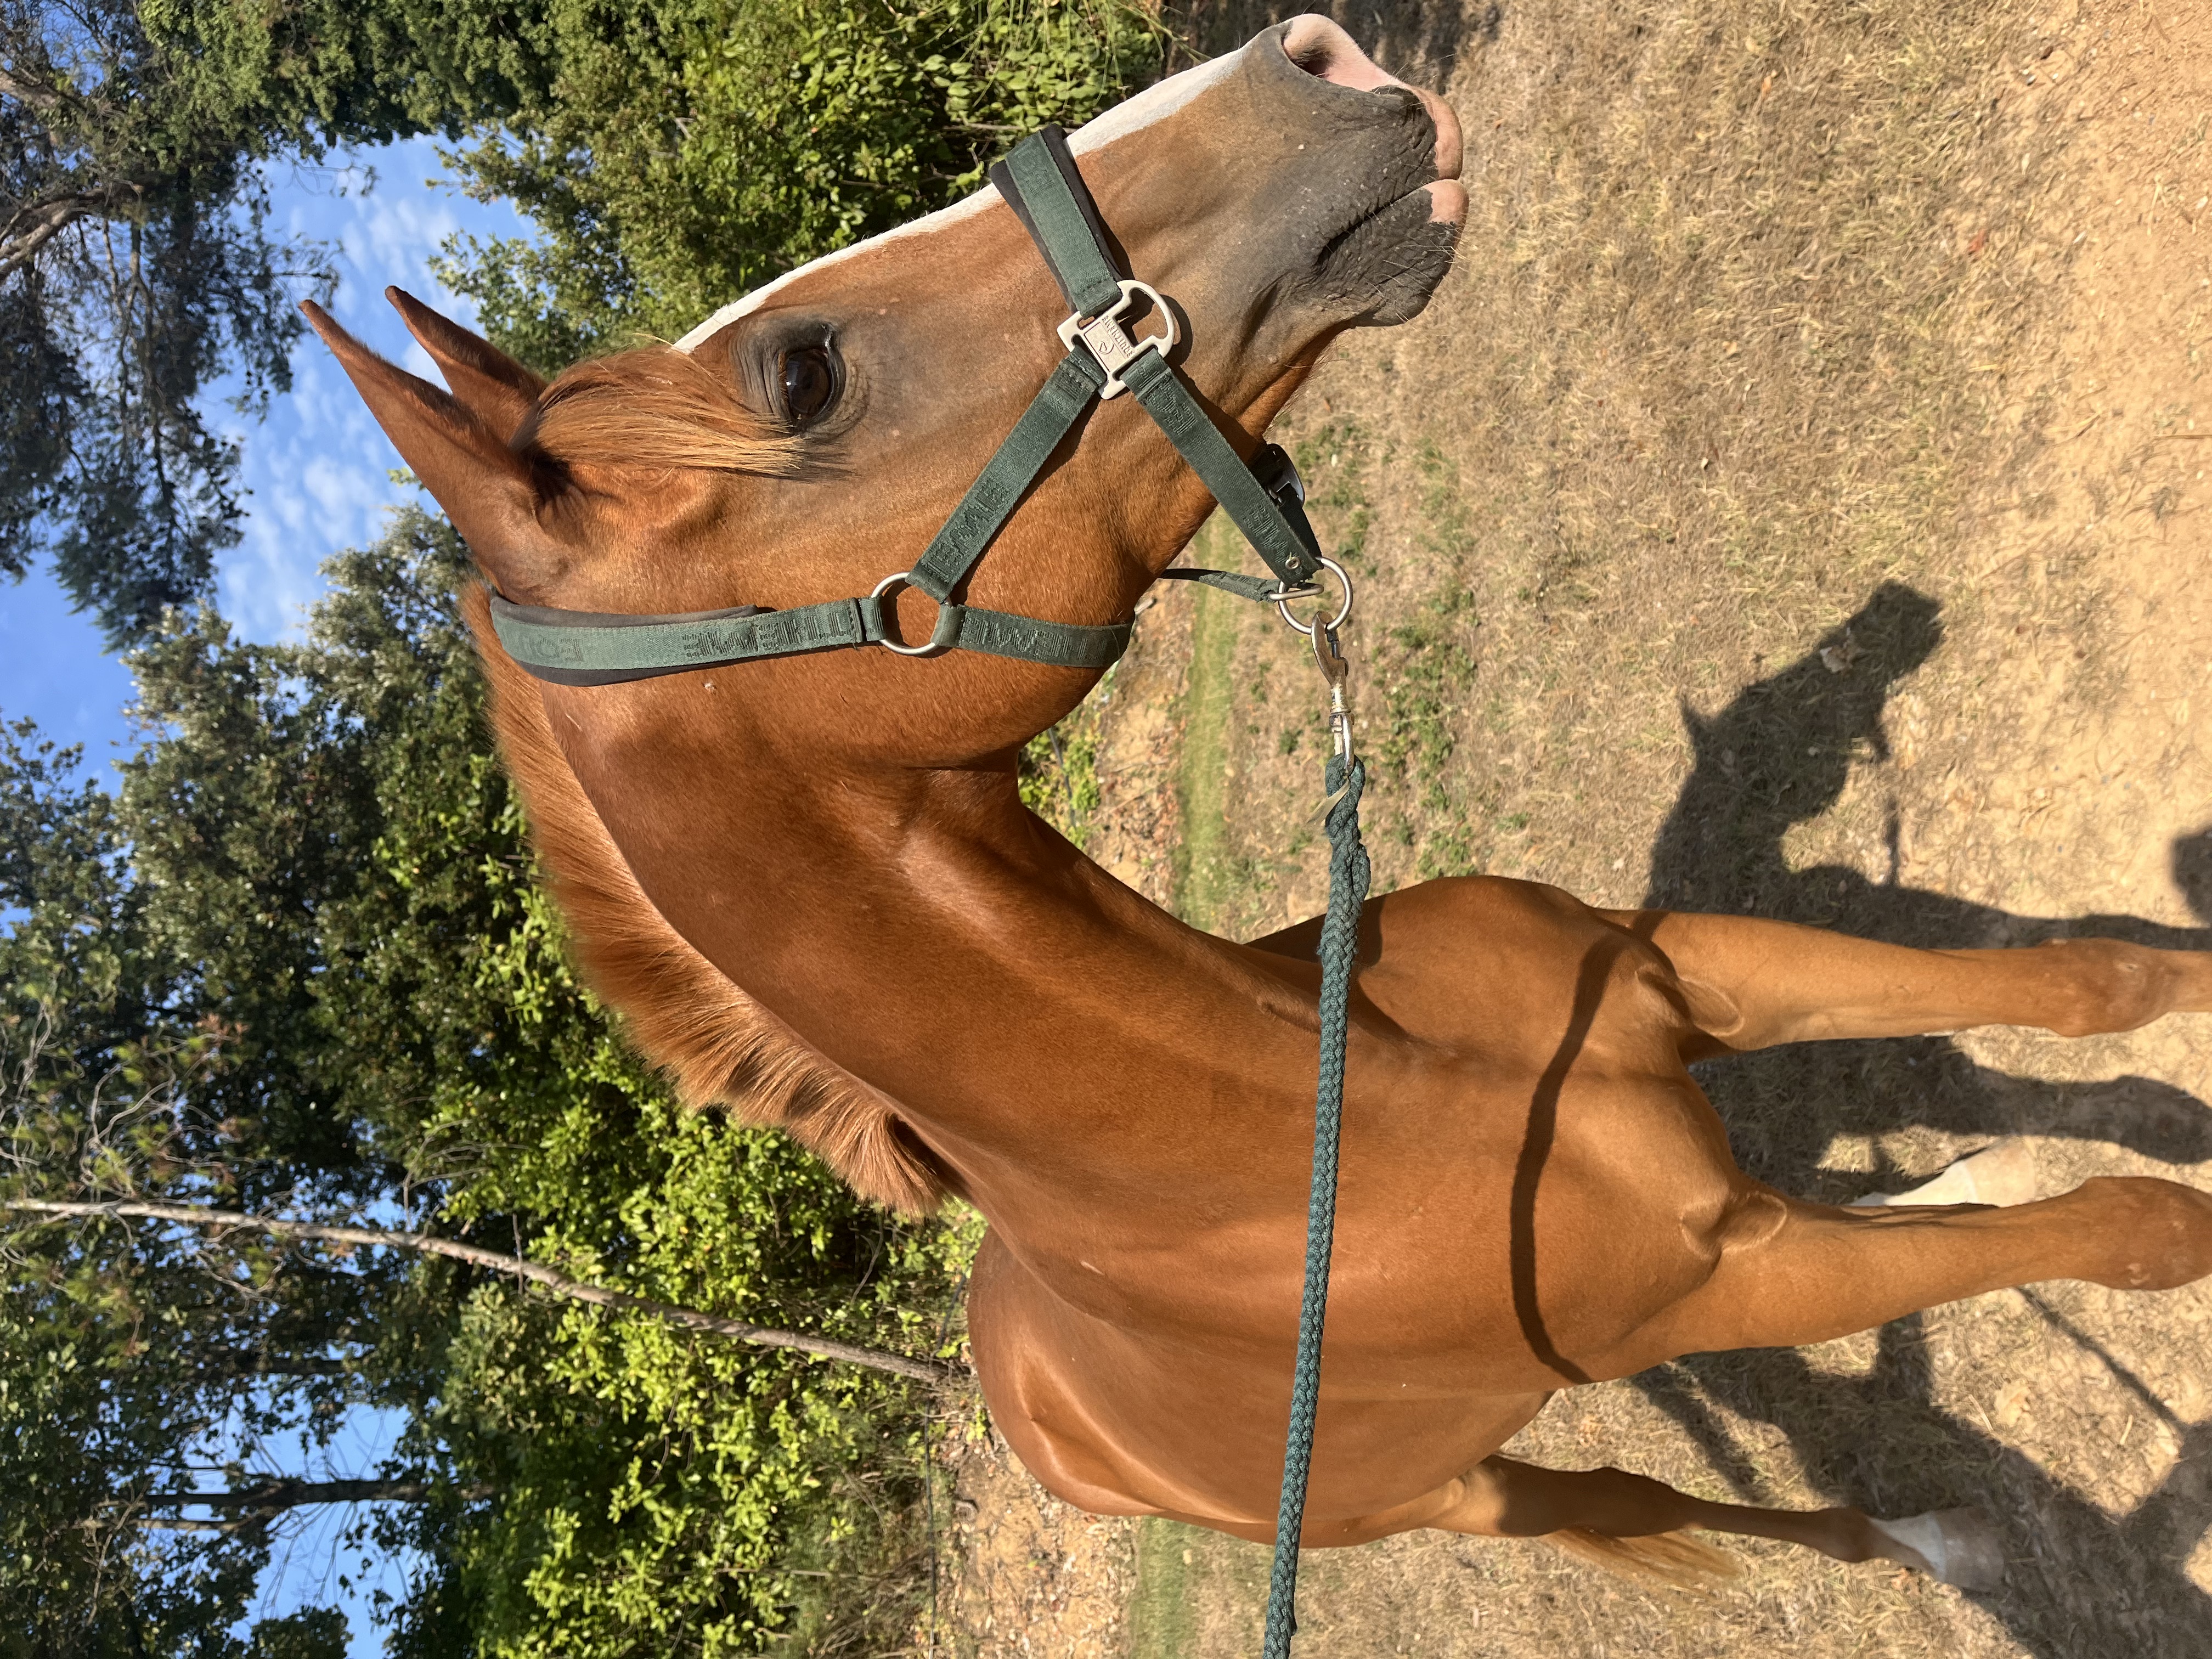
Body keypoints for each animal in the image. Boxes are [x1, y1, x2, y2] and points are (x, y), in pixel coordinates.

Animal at [307, 14, 2212, 1594]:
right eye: (806, 378)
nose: (1322, 61)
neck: (1319, 1106)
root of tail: (1023, 1398)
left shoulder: (1686, 969)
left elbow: (2083, 978)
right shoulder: (1729, 1273)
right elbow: (2140, 1230)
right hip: (1470, 1490)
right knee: (1662, 1503)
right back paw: (1936, 1532)